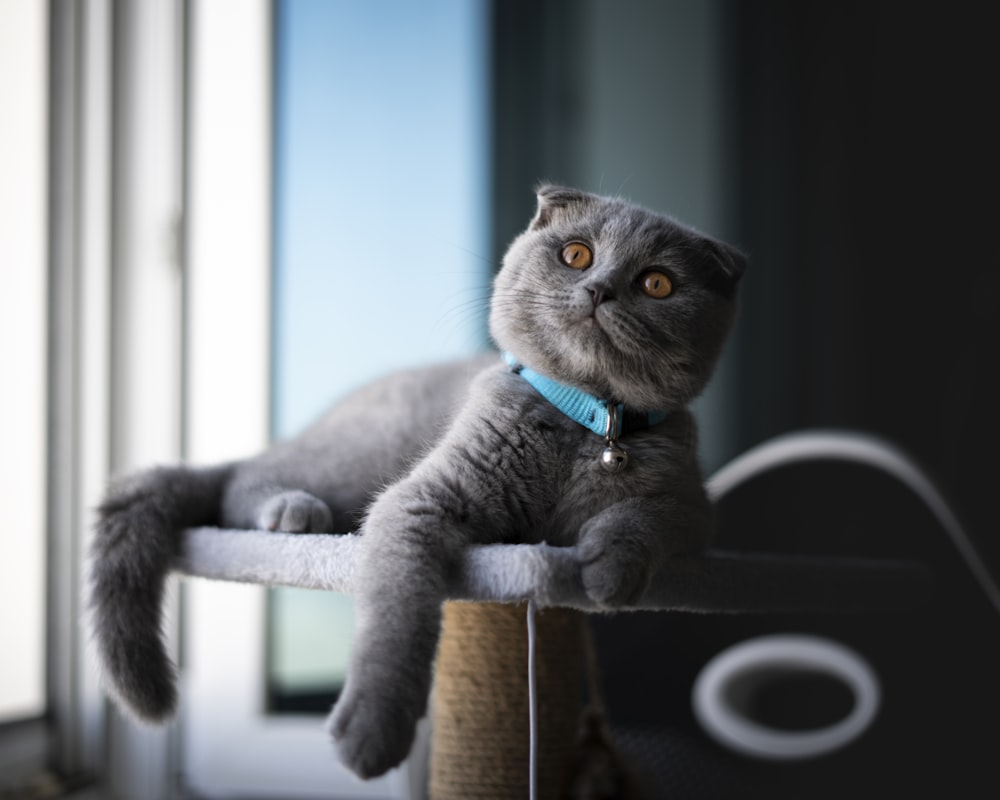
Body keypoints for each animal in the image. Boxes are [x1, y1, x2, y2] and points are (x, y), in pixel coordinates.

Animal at [88, 184, 744, 780]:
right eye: (576, 254)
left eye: (657, 284)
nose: (600, 288)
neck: (587, 423)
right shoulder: (420, 500)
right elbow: (397, 615)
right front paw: (373, 731)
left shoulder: (694, 507)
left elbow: (648, 515)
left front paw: (606, 568)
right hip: (354, 456)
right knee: (242, 480)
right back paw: (292, 511)